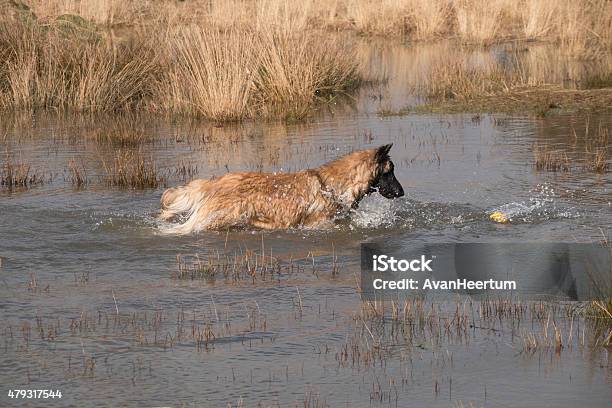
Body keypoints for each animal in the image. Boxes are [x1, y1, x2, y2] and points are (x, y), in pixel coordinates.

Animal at [160, 143, 404, 233]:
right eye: (390, 171)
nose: (402, 192)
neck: (332, 186)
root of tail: (214, 183)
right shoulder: (319, 223)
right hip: (215, 219)